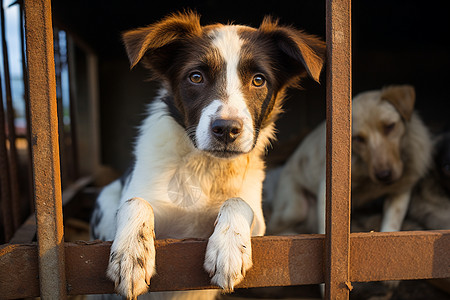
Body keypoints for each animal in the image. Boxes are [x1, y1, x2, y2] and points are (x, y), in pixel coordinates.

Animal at [89, 10, 326, 298]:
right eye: (196, 77)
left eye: (259, 80)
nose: (226, 129)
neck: (205, 167)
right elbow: (136, 202)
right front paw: (131, 255)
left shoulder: (259, 224)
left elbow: (238, 201)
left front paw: (229, 247)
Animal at [268, 85, 432, 237]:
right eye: (358, 139)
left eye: (390, 126)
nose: (384, 175)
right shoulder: (326, 190)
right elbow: (324, 228)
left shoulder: (400, 190)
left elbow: (390, 225)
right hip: (294, 208)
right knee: (277, 227)